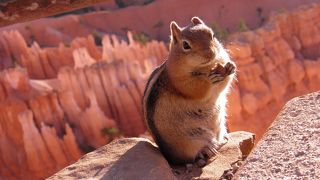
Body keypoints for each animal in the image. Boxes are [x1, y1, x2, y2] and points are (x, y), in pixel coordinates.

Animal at [142, 16, 235, 166]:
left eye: (212, 35)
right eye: (186, 45)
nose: (210, 53)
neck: (207, 67)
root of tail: (170, 158)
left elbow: (224, 83)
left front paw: (230, 66)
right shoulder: (179, 81)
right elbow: (195, 89)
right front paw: (209, 80)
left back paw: (222, 140)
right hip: (190, 141)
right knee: (193, 155)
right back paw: (207, 150)